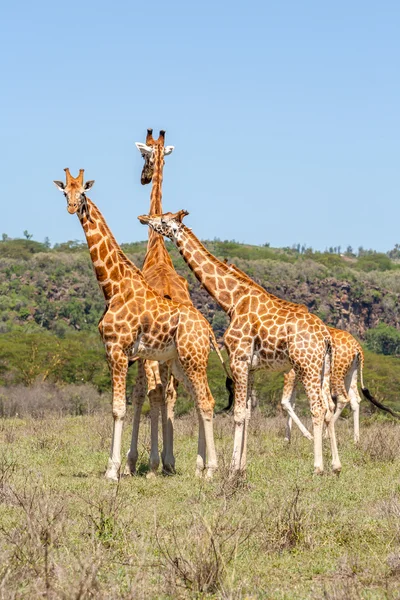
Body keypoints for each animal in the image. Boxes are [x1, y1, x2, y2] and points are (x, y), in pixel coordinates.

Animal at [54, 171, 225, 480]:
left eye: (82, 192)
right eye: (65, 192)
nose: (73, 207)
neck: (113, 286)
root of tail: (207, 330)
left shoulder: (117, 350)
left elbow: (118, 408)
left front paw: (112, 470)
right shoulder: (123, 353)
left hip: (193, 358)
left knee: (205, 400)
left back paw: (210, 471)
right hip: (180, 361)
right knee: (202, 400)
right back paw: (201, 468)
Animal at [139, 210, 342, 474]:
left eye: (164, 221)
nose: (143, 218)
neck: (232, 300)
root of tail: (325, 337)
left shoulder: (238, 358)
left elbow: (236, 413)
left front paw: (232, 467)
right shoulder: (250, 366)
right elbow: (246, 413)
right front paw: (242, 466)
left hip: (306, 365)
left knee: (317, 407)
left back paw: (318, 467)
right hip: (323, 368)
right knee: (329, 407)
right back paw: (336, 466)